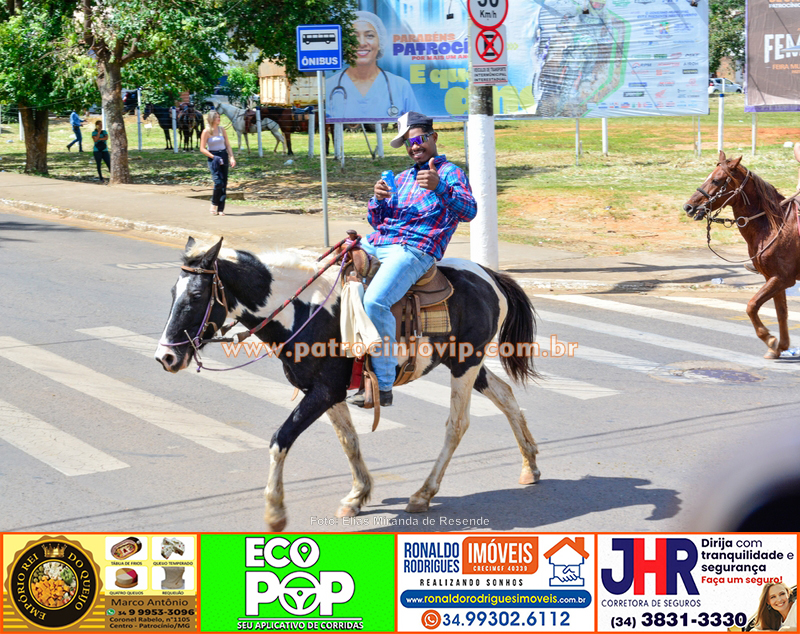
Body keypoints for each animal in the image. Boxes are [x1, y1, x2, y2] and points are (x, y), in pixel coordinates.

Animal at [153, 237, 542, 531]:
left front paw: (275, 513)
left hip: (465, 364)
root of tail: (489, 276)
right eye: (172, 293)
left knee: (457, 424)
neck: (304, 310)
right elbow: (348, 440)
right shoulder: (326, 393)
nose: (165, 357)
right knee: (506, 396)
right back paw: (530, 466)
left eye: (196, 297)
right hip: (465, 364)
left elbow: (281, 439)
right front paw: (357, 495)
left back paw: (423, 493)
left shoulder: (323, 392)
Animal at [683, 151, 799, 358]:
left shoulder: (782, 278)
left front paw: (769, 339)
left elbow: (752, 306)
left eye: (716, 180)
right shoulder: (774, 278)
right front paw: (780, 346)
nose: (688, 207)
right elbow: (781, 312)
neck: (773, 224)